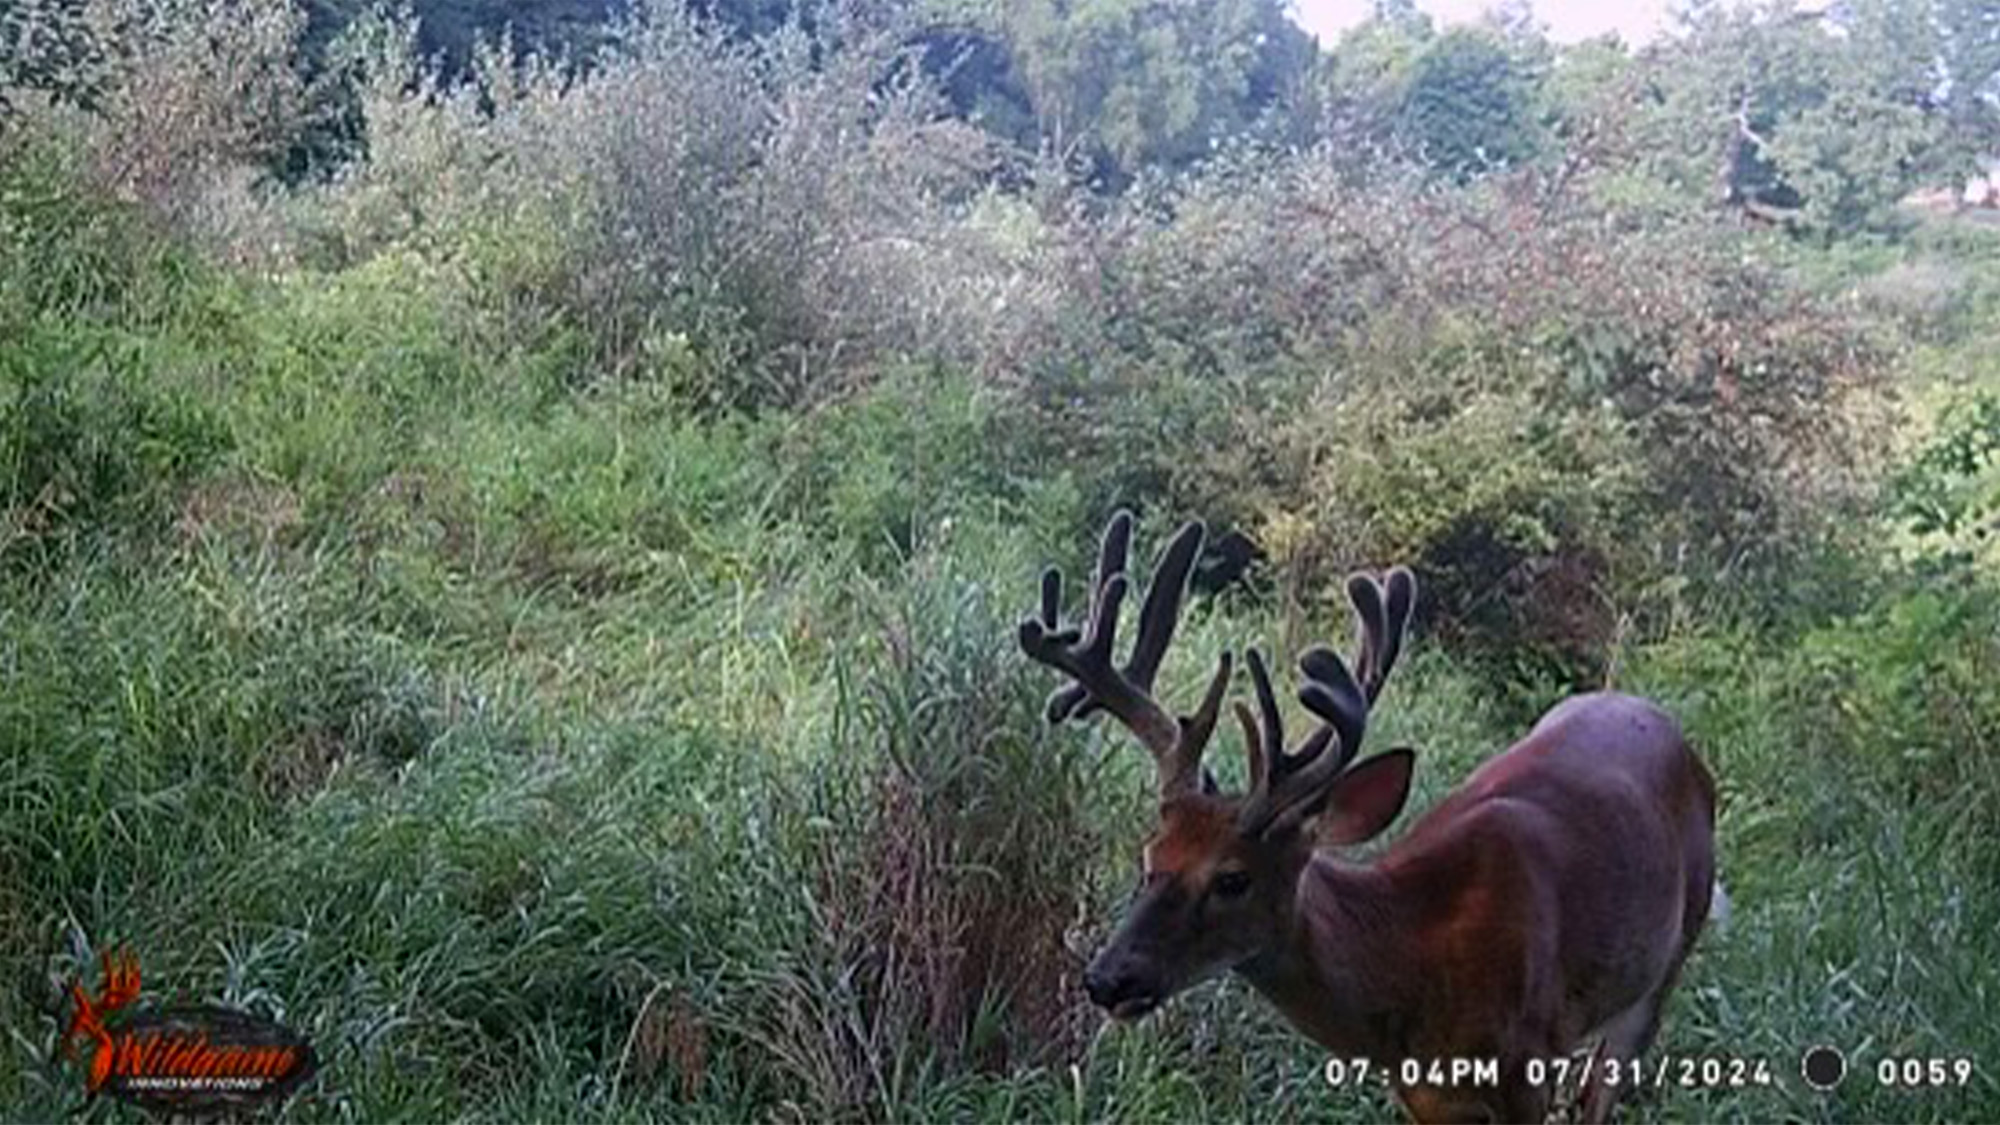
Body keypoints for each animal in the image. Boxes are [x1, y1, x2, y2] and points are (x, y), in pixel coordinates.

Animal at [1016, 512, 1720, 1112]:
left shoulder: (1529, 1065)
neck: (1416, 964)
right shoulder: (1422, 1096)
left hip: (1663, 968)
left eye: (1233, 878)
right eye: (1150, 857)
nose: (1106, 979)